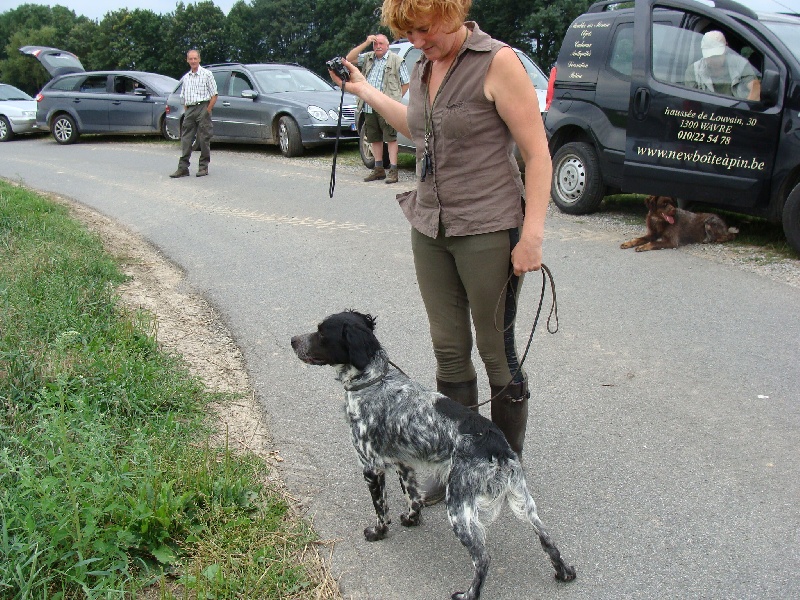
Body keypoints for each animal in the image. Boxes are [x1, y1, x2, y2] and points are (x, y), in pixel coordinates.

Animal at [290, 312, 572, 596]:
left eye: (322, 333)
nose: (292, 340)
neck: (375, 382)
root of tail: (497, 445)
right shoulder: (404, 463)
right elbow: (413, 498)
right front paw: (411, 519)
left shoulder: (371, 467)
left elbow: (381, 509)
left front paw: (377, 533)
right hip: (524, 501)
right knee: (547, 538)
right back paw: (565, 572)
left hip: (458, 506)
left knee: (482, 558)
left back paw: (468, 594)